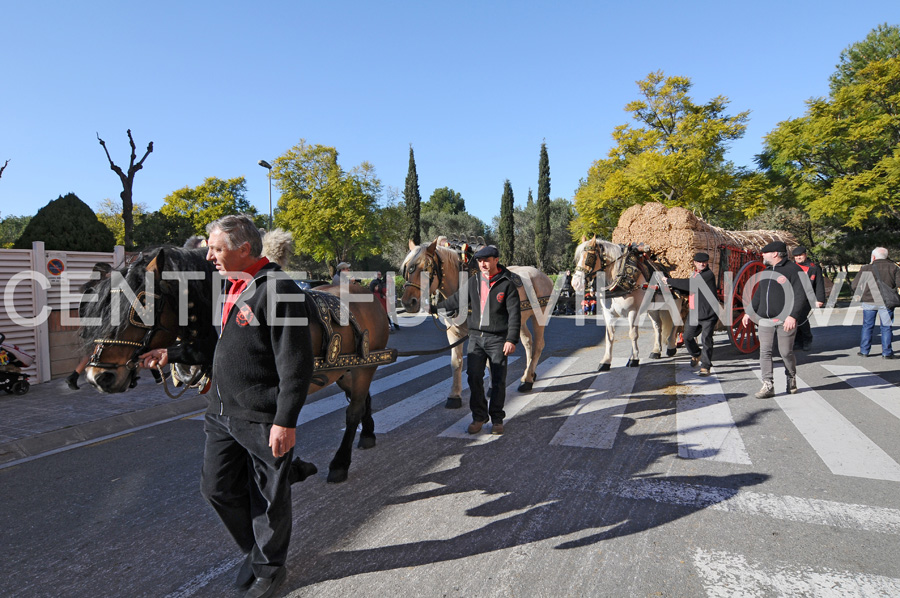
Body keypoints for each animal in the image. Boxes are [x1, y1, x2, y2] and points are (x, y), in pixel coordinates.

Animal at [79, 246, 396, 486]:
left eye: (141, 306)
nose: (99, 376)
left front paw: (292, 469)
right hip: (347, 369)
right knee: (360, 400)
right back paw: (368, 433)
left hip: (364, 367)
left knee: (352, 411)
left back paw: (341, 462)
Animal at [400, 239, 556, 408]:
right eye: (407, 268)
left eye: (426, 268)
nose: (408, 302)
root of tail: (543, 276)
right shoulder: (454, 332)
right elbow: (457, 362)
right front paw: (455, 395)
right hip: (519, 320)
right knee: (528, 342)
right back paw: (529, 374)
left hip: (539, 316)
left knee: (538, 345)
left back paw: (527, 380)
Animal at [572, 238, 680, 370]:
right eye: (577, 258)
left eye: (589, 257)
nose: (575, 283)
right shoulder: (608, 314)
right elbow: (609, 336)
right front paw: (606, 361)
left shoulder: (633, 312)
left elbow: (633, 334)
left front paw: (634, 359)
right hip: (652, 308)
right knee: (657, 326)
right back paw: (656, 350)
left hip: (672, 303)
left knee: (676, 322)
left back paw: (671, 346)